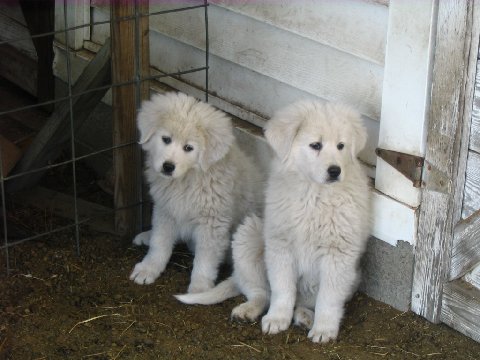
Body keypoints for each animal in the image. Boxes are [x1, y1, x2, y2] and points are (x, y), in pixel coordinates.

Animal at [129, 92, 260, 292]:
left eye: (188, 148)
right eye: (166, 139)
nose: (168, 167)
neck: (187, 181)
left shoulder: (212, 224)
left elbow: (204, 261)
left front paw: (199, 288)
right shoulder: (166, 209)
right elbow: (159, 243)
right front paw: (148, 268)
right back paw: (147, 235)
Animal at [176, 99, 372, 344]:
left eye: (341, 146)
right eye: (315, 145)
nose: (335, 171)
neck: (314, 195)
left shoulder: (339, 254)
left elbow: (328, 299)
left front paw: (324, 329)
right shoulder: (280, 245)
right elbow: (282, 289)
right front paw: (278, 318)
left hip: (351, 277)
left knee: (305, 301)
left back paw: (305, 316)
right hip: (248, 237)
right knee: (261, 292)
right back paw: (248, 311)